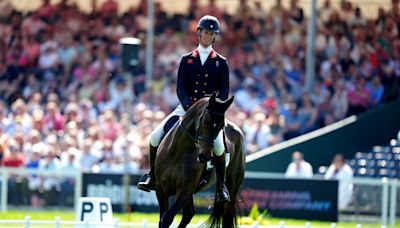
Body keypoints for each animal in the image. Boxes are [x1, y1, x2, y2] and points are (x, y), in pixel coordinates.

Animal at [155, 93, 245, 228]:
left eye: (221, 126)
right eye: (206, 121)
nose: (205, 156)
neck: (178, 151)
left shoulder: (186, 189)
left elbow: (167, 217)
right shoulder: (161, 189)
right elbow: (163, 219)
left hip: (232, 188)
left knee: (226, 217)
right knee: (189, 213)